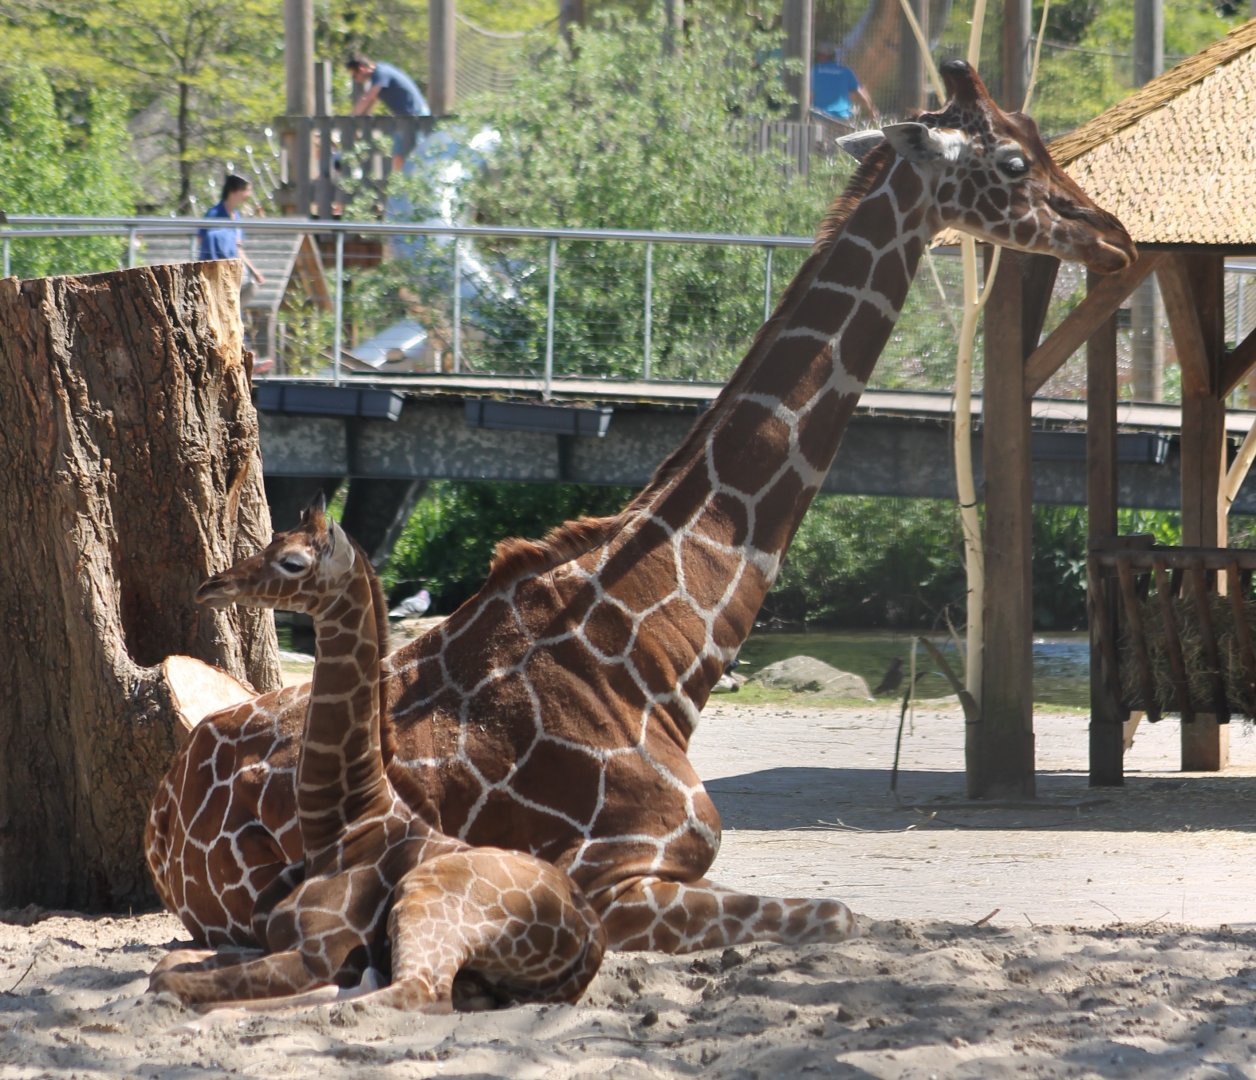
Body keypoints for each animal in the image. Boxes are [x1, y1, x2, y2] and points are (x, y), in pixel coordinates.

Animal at [147, 61, 1135, 954]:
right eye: (1013, 159)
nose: (1116, 237)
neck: (659, 650)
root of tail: (169, 818)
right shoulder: (610, 876)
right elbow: (840, 915)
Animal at [149, 498, 605, 1008]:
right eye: (272, 539)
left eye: (293, 562)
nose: (212, 585)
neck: (338, 825)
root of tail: (588, 941)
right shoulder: (265, 936)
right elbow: (166, 966)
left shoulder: (318, 952)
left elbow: (172, 981)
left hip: (425, 900)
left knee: (414, 992)